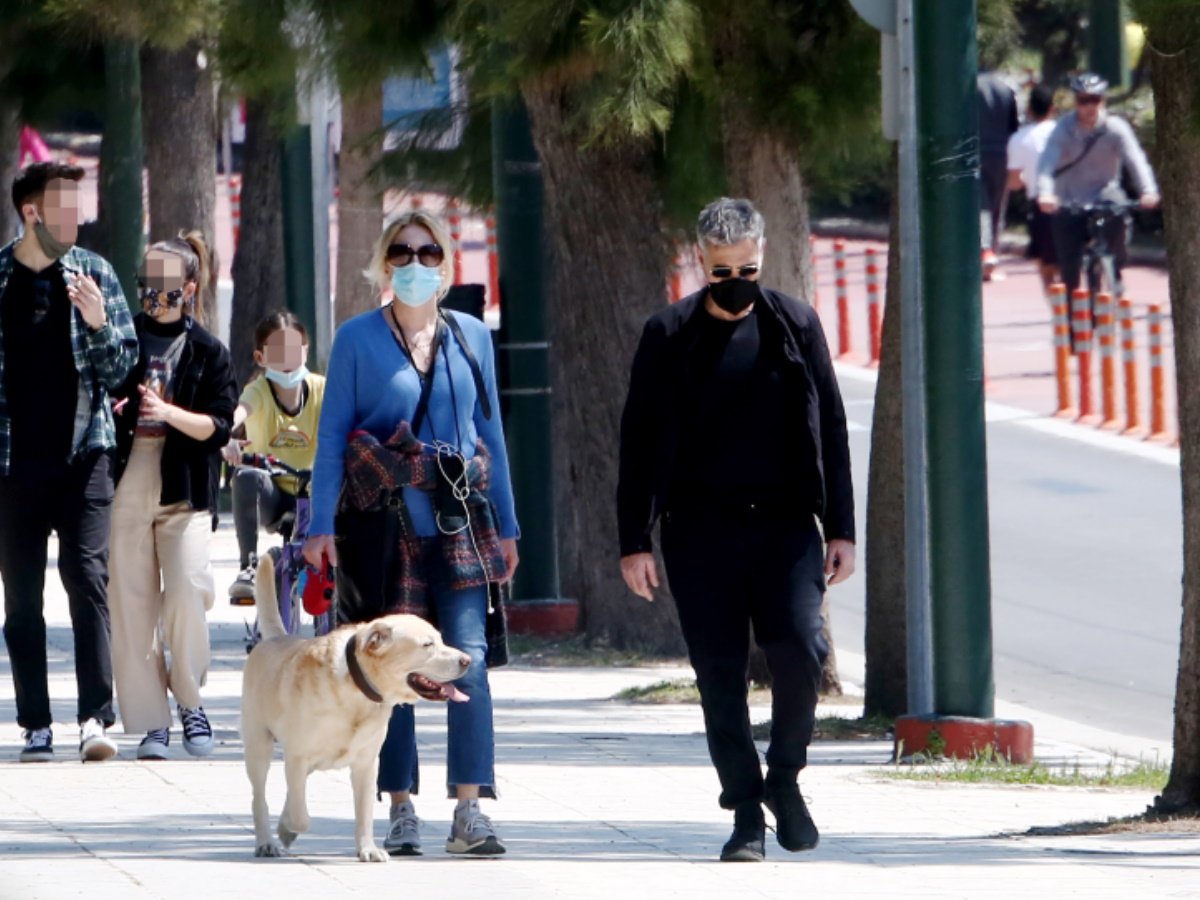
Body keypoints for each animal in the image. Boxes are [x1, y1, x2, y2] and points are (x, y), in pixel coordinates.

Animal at [241, 556, 470, 859]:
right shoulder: (298, 755)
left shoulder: (366, 763)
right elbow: (302, 817)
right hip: (259, 746)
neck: (358, 691)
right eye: (427, 645)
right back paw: (266, 840)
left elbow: (364, 812)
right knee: (259, 797)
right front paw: (289, 828)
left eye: (442, 639)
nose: (468, 660)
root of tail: (273, 638)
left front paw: (368, 849)